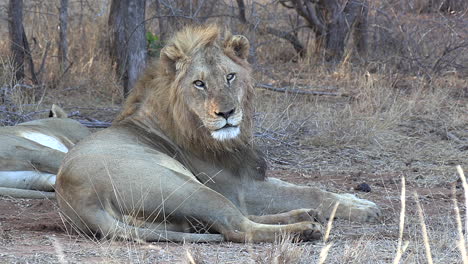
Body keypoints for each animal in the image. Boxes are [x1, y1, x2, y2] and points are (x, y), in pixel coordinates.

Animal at [55, 25, 380, 243]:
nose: (226, 113)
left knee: (235, 220)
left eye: (230, 76)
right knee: (237, 227)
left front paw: (356, 200)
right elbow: (307, 190)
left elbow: (307, 188)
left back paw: (304, 216)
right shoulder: (239, 188)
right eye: (199, 83)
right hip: (187, 187)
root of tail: (81, 203)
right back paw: (304, 228)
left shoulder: (248, 176)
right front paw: (362, 210)